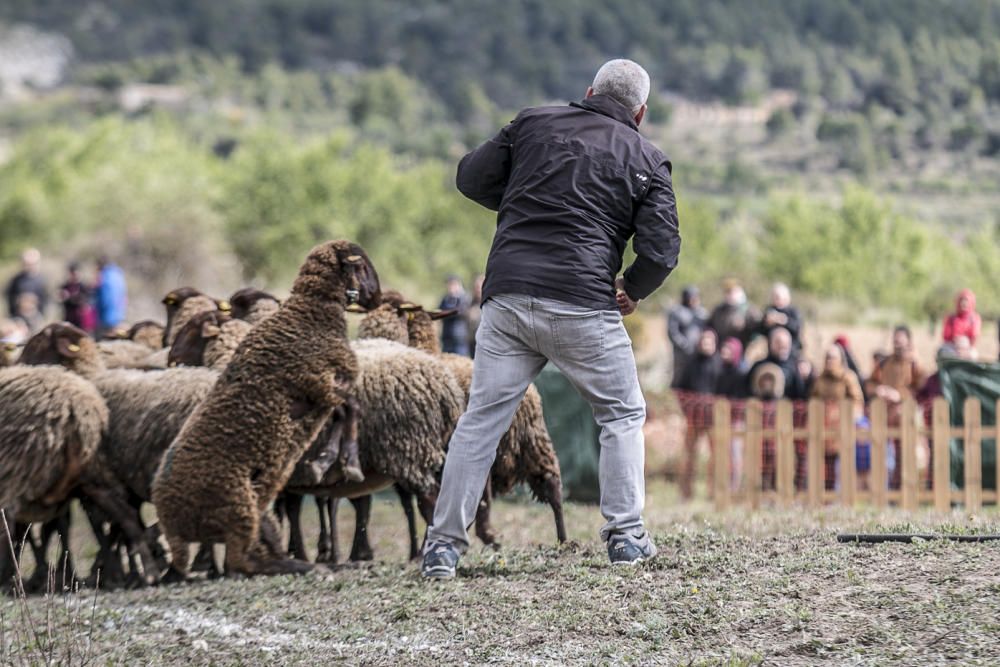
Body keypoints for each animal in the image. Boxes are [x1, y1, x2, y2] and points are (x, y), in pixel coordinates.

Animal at [150, 240, 380, 580]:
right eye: (361, 264)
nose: (376, 298)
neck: (311, 315)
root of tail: (174, 526)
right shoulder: (316, 382)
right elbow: (352, 407)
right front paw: (345, 462)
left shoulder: (321, 392)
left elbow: (344, 411)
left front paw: (327, 461)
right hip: (238, 506)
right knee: (240, 563)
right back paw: (306, 565)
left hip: (255, 510)